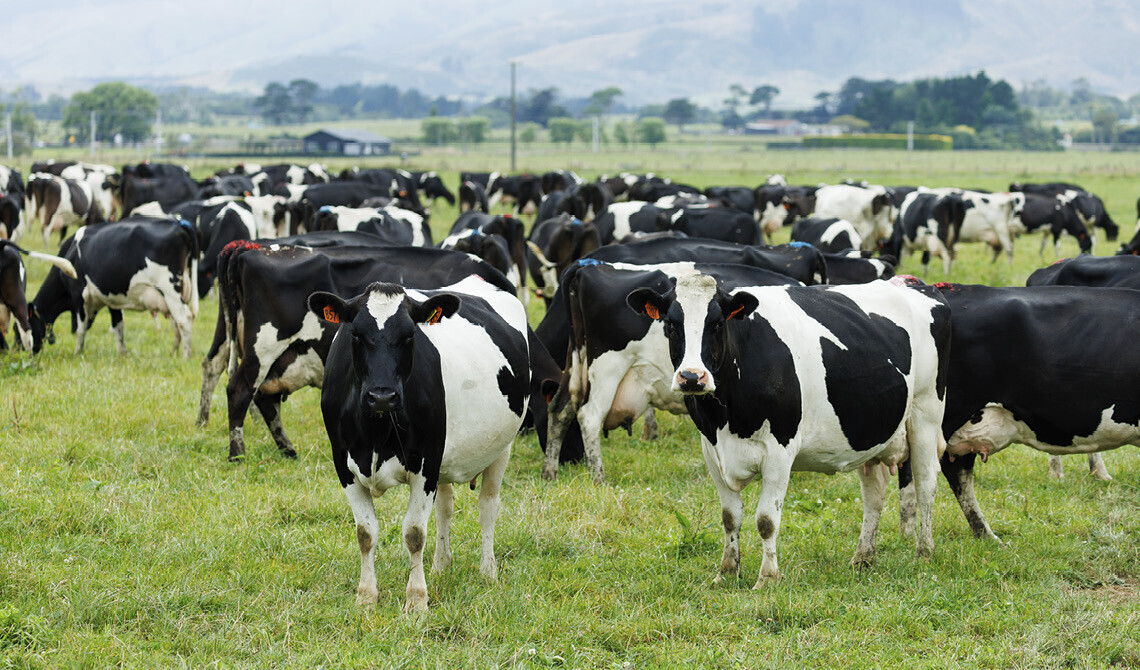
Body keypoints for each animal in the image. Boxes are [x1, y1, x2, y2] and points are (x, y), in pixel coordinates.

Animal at [29, 217, 199, 357]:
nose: (29, 352)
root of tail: (179, 224)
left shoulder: (79, 294)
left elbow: (81, 328)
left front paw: (78, 352)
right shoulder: (112, 299)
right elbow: (119, 326)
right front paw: (122, 353)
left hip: (170, 290)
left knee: (184, 319)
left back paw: (186, 355)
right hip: (182, 290)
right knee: (178, 324)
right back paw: (174, 352)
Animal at [309, 275, 529, 610]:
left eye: (410, 334)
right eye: (355, 334)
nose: (382, 396)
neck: (376, 433)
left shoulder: (426, 464)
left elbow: (414, 533)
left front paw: (416, 600)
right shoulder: (343, 465)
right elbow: (365, 533)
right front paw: (366, 596)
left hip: (500, 449)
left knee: (488, 507)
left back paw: (488, 571)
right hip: (445, 460)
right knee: (445, 507)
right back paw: (440, 565)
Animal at [625, 275, 950, 584]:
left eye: (717, 323)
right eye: (671, 323)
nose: (692, 377)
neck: (725, 418)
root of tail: (917, 286)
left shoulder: (780, 450)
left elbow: (766, 520)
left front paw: (768, 578)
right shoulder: (711, 450)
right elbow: (730, 517)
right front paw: (726, 572)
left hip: (925, 413)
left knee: (926, 483)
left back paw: (924, 553)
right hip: (871, 430)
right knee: (874, 492)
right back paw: (863, 558)